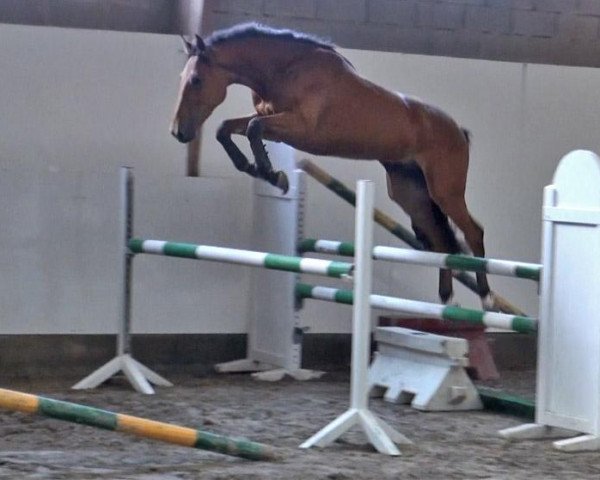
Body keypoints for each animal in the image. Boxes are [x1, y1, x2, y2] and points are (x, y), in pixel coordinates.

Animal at [169, 21, 492, 308]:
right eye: (182, 77)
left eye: (196, 80)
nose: (178, 132)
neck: (285, 69)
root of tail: (458, 131)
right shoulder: (271, 120)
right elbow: (227, 129)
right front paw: (262, 171)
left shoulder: (301, 129)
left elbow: (253, 129)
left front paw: (273, 175)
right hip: (410, 194)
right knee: (440, 241)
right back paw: (445, 298)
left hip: (444, 191)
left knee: (473, 232)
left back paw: (486, 298)